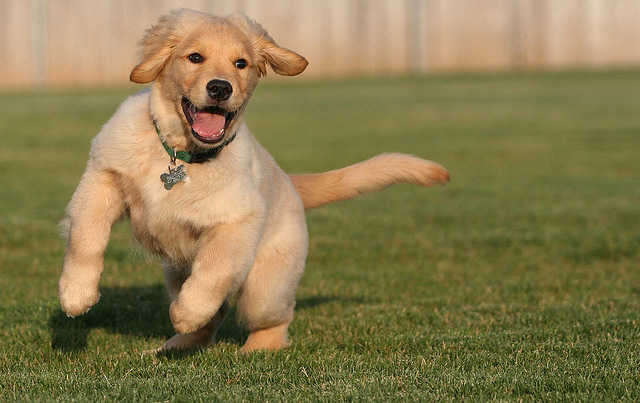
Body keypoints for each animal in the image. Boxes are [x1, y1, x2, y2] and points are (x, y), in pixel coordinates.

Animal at [58, 7, 450, 352]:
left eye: (241, 64)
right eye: (195, 57)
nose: (220, 88)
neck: (181, 155)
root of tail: (291, 182)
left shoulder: (235, 223)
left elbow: (213, 274)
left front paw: (185, 313)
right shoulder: (102, 178)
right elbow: (87, 239)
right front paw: (76, 295)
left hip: (265, 286)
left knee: (268, 316)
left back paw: (254, 347)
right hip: (177, 269)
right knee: (217, 313)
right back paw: (179, 343)